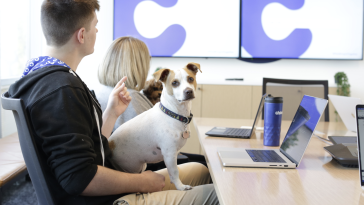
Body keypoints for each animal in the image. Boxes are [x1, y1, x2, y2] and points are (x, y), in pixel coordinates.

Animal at [108, 62, 202, 191]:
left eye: (190, 79)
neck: (173, 114)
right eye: (174, 83)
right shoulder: (169, 154)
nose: (188, 91)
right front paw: (180, 186)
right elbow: (174, 172)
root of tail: (110, 144)